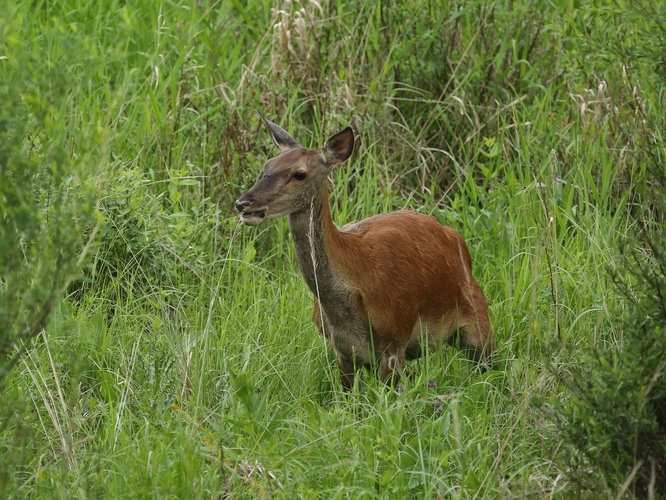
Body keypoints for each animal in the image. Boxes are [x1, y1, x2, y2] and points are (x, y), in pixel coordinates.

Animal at [235, 117, 492, 390]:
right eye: (267, 165)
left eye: (299, 174)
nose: (243, 204)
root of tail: (455, 237)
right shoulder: (343, 352)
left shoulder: (395, 338)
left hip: (479, 321)